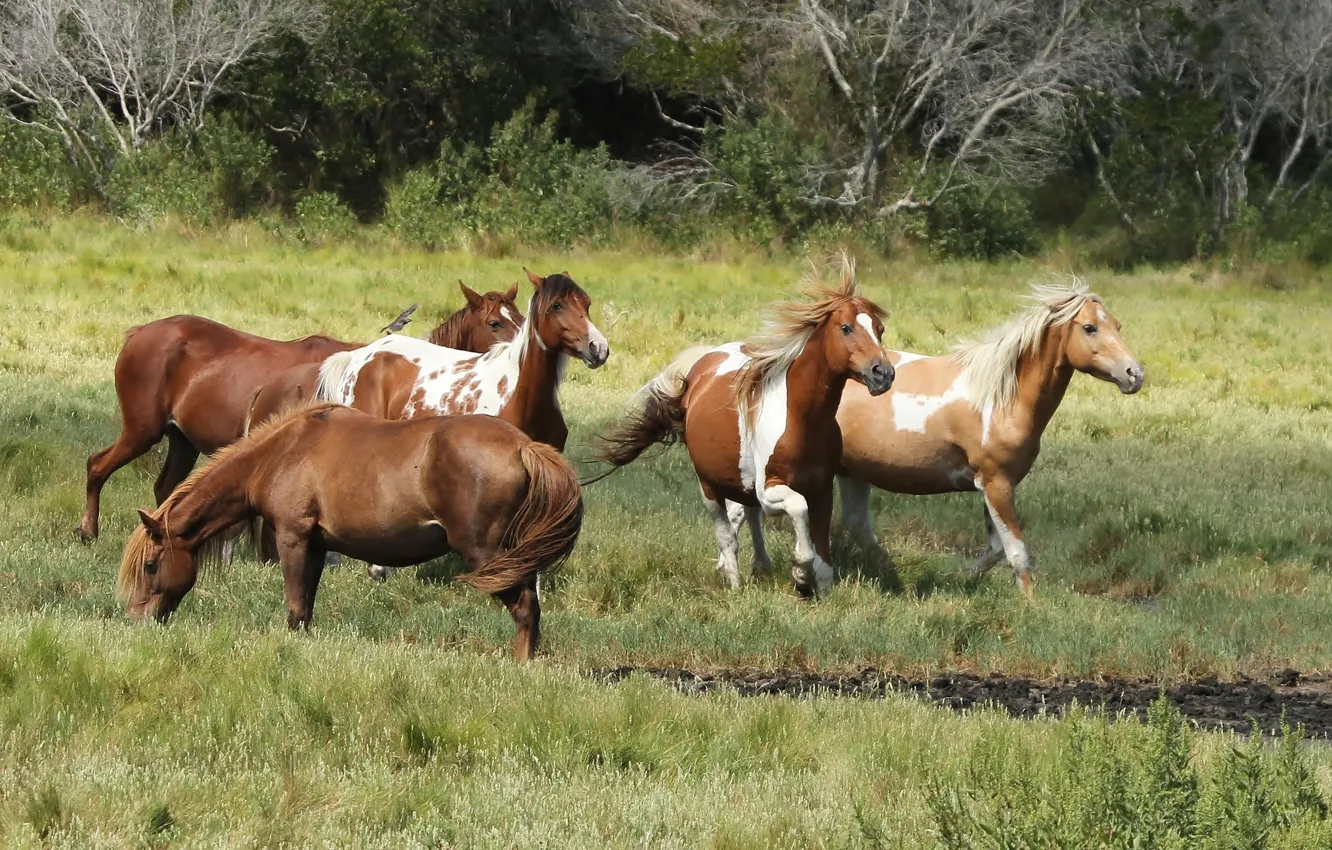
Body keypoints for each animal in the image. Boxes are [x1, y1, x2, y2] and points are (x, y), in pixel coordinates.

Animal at [117, 402, 586, 663]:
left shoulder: (293, 538)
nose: (136, 622)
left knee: (525, 608)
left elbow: (294, 607)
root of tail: (523, 446)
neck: (282, 452)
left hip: (488, 554)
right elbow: (305, 608)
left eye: (152, 565)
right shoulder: (316, 546)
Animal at [836, 282, 1140, 596]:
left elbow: (996, 549)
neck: (1000, 399)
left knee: (857, 525)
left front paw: (959, 578)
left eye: (1117, 325)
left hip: (853, 472)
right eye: (1090, 328)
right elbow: (1017, 552)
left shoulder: (992, 484)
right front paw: (1030, 601)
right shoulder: (997, 483)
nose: (1134, 374)